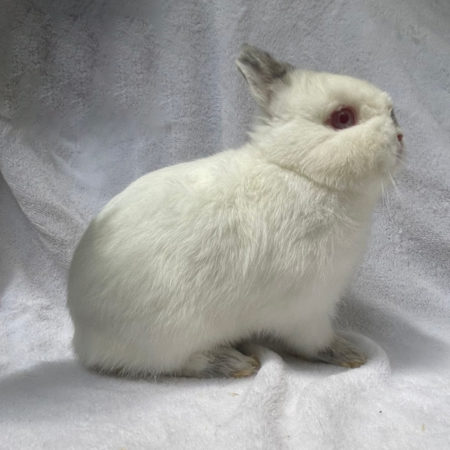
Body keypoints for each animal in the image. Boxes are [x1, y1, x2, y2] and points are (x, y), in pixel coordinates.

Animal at [67, 44, 403, 378]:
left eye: (391, 111)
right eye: (343, 117)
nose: (400, 137)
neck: (300, 172)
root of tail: (83, 336)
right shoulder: (307, 309)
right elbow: (314, 341)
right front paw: (351, 355)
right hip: (171, 335)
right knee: (177, 362)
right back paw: (234, 363)